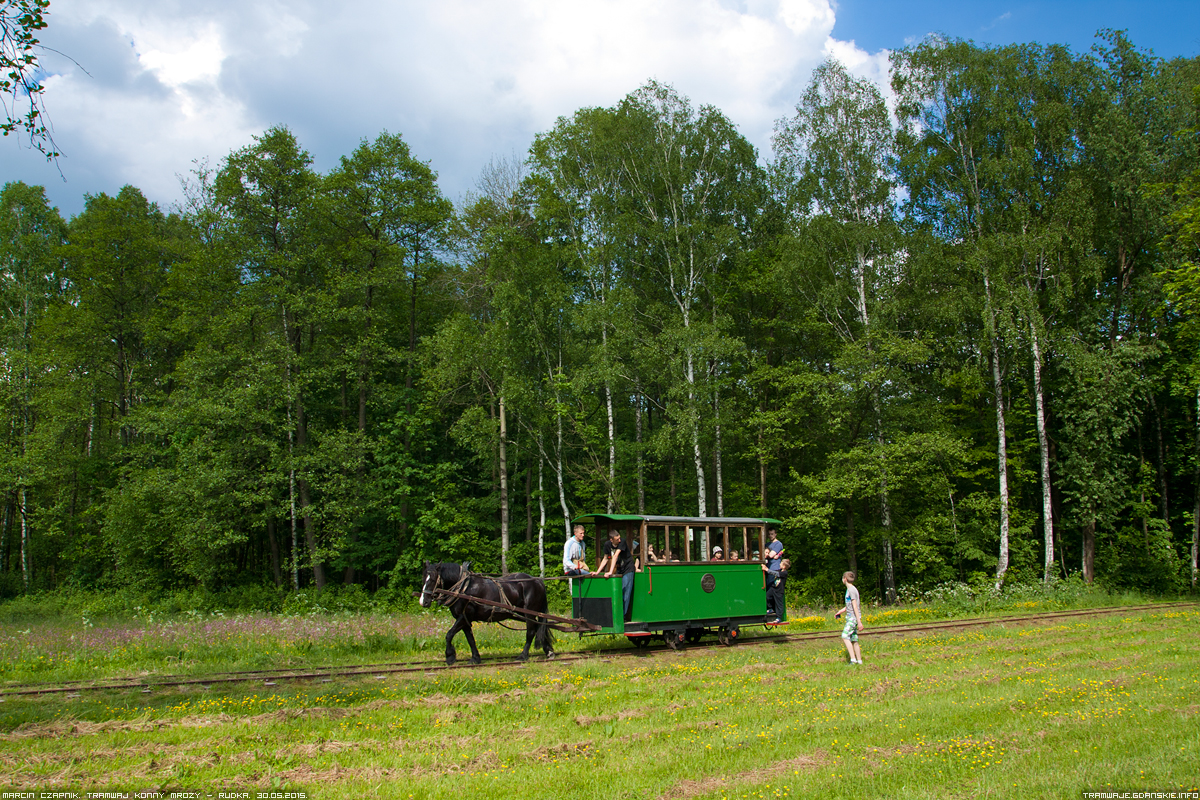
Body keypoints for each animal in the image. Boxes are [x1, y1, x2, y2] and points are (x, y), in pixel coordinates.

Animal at [420, 561, 554, 666]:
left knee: (531, 632)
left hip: (529, 613)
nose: (423, 602)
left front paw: (450, 657)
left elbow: (449, 634)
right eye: (423, 578)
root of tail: (537, 581)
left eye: (432, 579)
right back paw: (549, 651)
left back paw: (523, 656)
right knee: (538, 627)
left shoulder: (463, 617)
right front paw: (475, 658)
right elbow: (470, 639)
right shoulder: (465, 619)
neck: (463, 588)